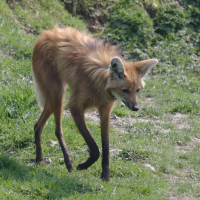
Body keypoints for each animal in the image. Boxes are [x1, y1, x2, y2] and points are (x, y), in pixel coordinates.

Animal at [32, 25, 158, 180]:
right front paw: (83, 165)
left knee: (37, 125)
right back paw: (68, 162)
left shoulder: (105, 109)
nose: (135, 108)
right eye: (125, 90)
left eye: (137, 90)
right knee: (57, 130)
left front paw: (106, 175)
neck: (101, 86)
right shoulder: (75, 107)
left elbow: (106, 145)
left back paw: (39, 159)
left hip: (53, 98)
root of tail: (46, 33)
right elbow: (94, 147)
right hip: (58, 95)